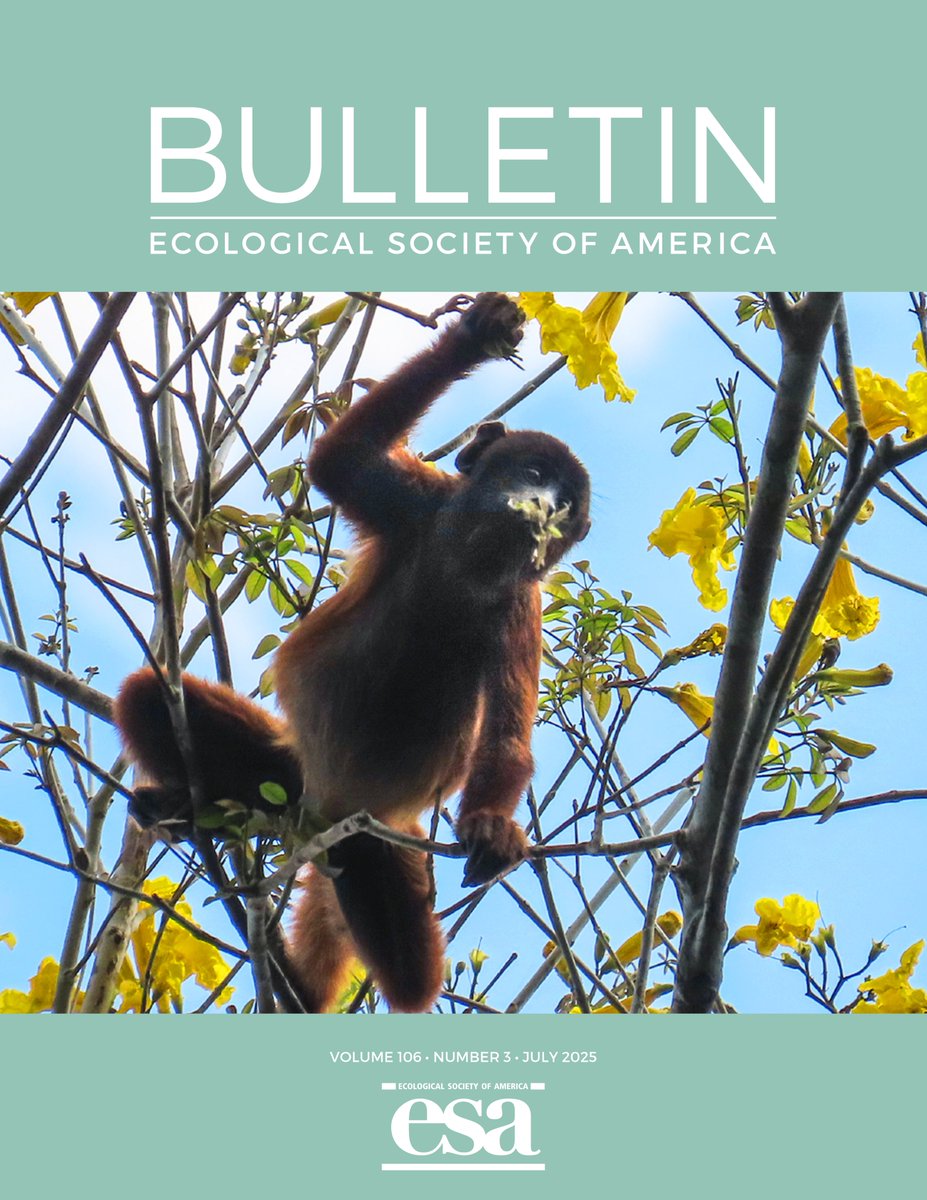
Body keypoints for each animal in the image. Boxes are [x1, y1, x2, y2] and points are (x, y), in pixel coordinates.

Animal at [114, 292, 592, 1013]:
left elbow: (507, 740)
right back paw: (185, 811)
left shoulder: (520, 609)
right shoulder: (416, 506)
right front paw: (473, 338)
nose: (540, 504)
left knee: (412, 980)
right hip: (284, 772)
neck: (470, 561)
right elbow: (338, 460)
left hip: (370, 846)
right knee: (147, 695)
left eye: (564, 505)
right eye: (534, 472)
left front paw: (491, 825)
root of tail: (329, 812)